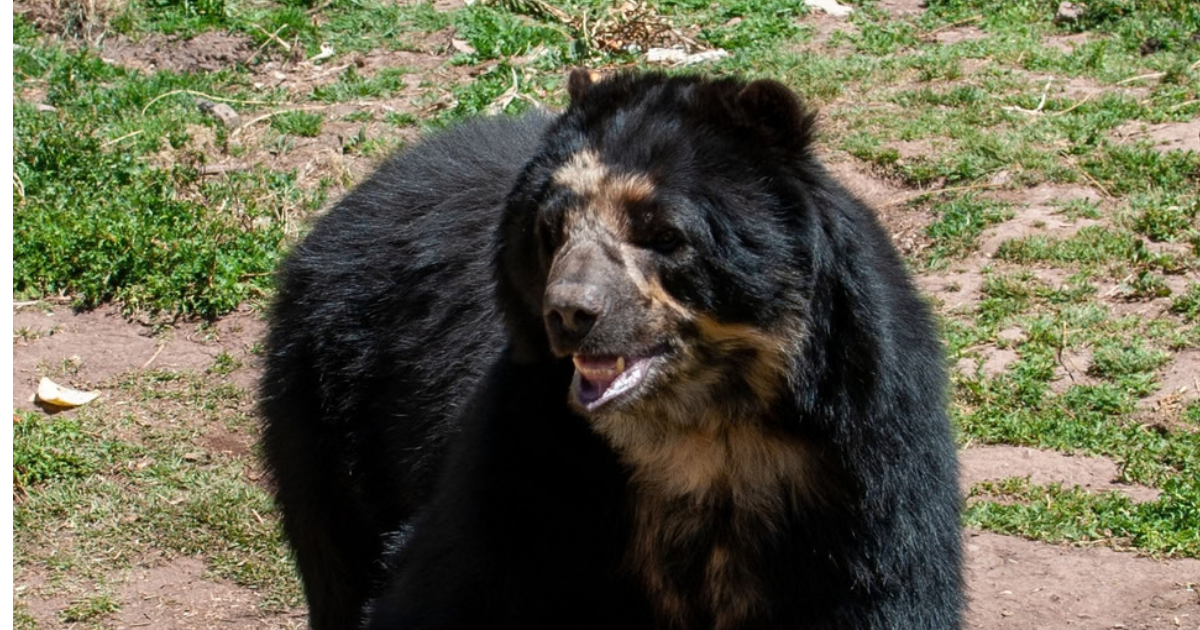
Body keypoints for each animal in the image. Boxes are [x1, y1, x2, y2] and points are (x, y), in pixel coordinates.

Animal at [260, 70, 963, 630]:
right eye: (550, 229)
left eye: (664, 234)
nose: (570, 313)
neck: (702, 434)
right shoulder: (525, 457)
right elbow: (442, 584)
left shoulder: (863, 474)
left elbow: (883, 591)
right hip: (327, 414)